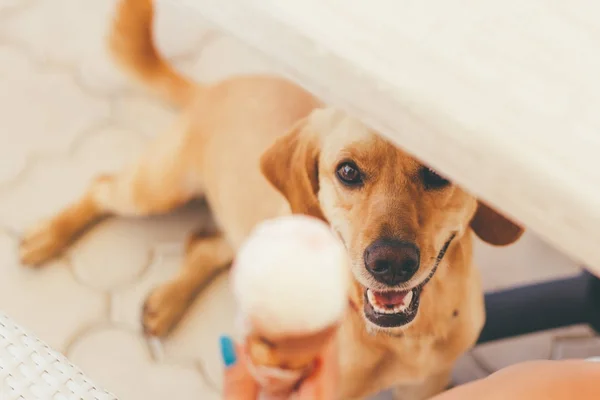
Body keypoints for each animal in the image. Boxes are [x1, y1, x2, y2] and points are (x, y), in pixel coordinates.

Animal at [18, 1, 524, 398]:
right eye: (348, 172)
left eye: (438, 175)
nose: (390, 263)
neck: (404, 336)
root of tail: (216, 87)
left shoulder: (425, 387)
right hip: (156, 188)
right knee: (101, 186)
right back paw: (47, 236)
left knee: (208, 245)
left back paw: (168, 299)